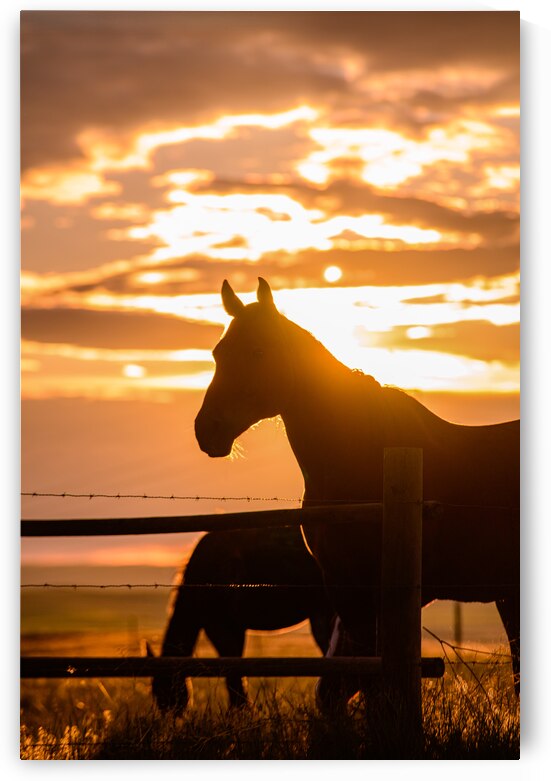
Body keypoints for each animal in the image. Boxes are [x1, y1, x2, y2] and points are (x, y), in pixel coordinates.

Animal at [148, 524, 332, 712]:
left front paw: (241, 709)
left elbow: (233, 668)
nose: (169, 714)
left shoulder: (220, 626)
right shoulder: (232, 628)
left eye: (163, 689)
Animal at [195, 278, 520, 704]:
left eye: (258, 351)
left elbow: (372, 683)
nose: (206, 430)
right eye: (218, 353)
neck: (361, 454)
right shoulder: (343, 588)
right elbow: (348, 685)